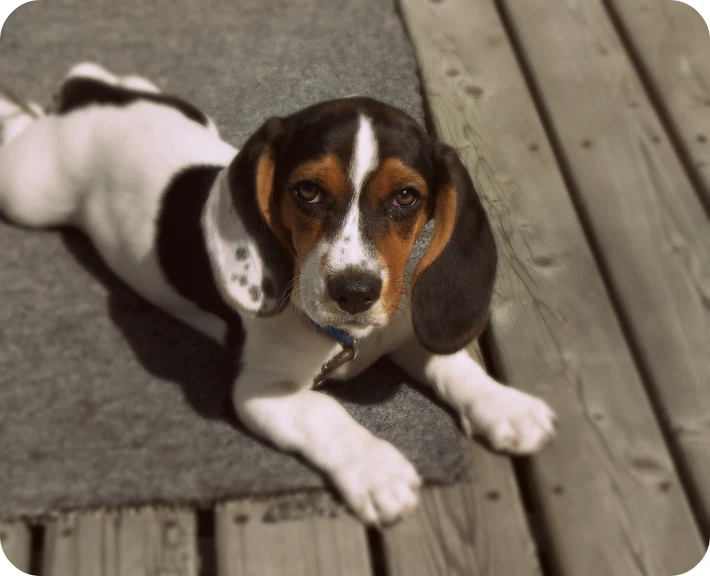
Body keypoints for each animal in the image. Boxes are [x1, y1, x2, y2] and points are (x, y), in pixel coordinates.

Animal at [0, 64, 556, 528]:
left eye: (406, 197)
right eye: (307, 191)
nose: (355, 292)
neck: (348, 338)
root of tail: (90, 102)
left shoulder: (402, 326)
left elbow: (455, 365)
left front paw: (507, 407)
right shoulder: (260, 391)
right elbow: (326, 414)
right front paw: (377, 469)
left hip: (180, 111)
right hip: (28, 191)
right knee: (21, 129)